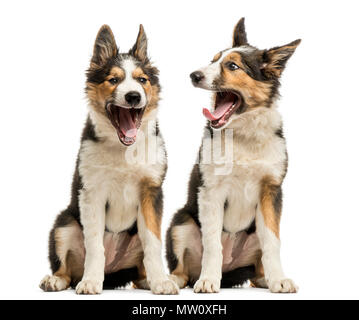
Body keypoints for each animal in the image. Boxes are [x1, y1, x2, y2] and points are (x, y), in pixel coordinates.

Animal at [40, 25, 180, 296]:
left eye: (142, 80)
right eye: (113, 80)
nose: (134, 96)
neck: (124, 150)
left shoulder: (151, 191)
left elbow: (153, 243)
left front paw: (160, 281)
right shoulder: (92, 192)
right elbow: (95, 245)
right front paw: (91, 282)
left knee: (139, 268)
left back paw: (147, 280)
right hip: (64, 224)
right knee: (66, 267)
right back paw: (56, 280)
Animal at [167, 17, 302, 292]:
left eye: (232, 66)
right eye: (212, 60)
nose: (194, 75)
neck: (243, 135)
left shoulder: (271, 191)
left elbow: (273, 242)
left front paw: (279, 279)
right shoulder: (211, 192)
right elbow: (212, 244)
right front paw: (208, 279)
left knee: (257, 265)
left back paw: (265, 279)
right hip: (181, 222)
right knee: (183, 268)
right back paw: (177, 279)